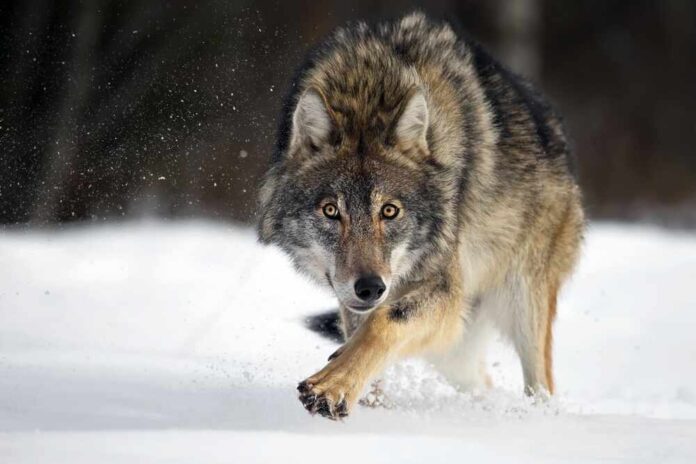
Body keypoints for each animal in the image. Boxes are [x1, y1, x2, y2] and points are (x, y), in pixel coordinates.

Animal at [257, 12, 584, 420]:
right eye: (331, 211)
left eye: (390, 211)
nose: (370, 287)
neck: (369, 88)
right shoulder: (362, 304)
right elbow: (366, 337)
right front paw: (367, 403)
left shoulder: (445, 292)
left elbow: (384, 322)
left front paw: (331, 387)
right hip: (457, 346)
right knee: (481, 382)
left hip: (521, 302)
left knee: (541, 385)